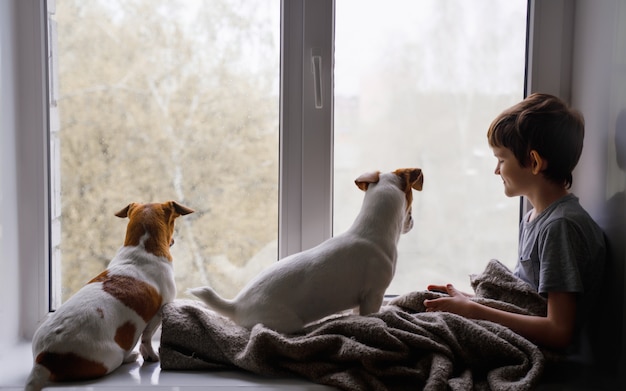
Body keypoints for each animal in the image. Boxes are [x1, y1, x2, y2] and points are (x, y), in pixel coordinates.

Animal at [25, 201, 193, 390]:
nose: (173, 240)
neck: (141, 249)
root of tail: (44, 359)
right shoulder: (158, 313)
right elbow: (146, 338)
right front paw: (150, 355)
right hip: (113, 356)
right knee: (121, 358)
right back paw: (131, 356)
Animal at [188, 168, 422, 334]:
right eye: (411, 205)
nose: (413, 223)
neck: (372, 230)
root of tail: (236, 305)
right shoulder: (374, 295)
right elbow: (373, 314)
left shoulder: (363, 300)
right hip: (286, 322)